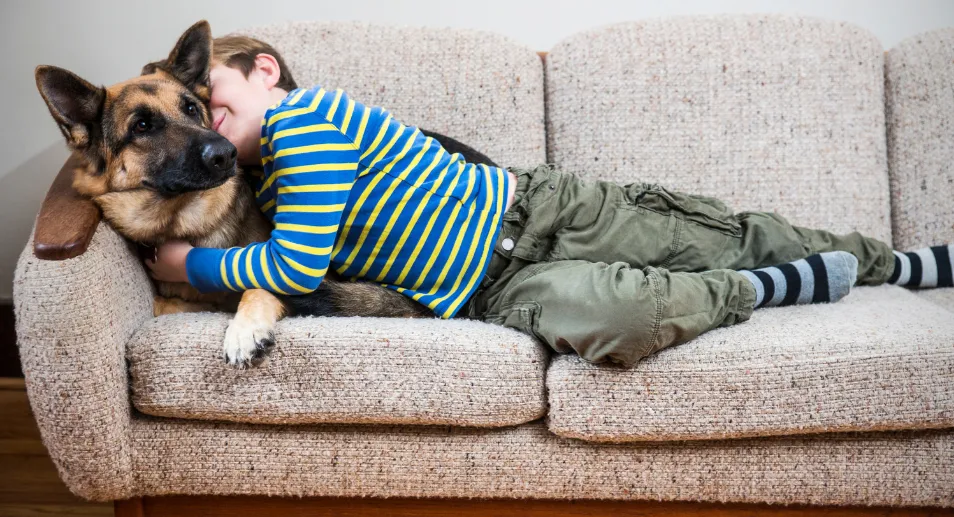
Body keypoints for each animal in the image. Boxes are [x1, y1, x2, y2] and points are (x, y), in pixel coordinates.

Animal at [35, 20, 498, 366]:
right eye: (142, 127)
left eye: (192, 108)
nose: (225, 154)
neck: (187, 221)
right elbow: (165, 305)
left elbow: (259, 282)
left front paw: (244, 328)